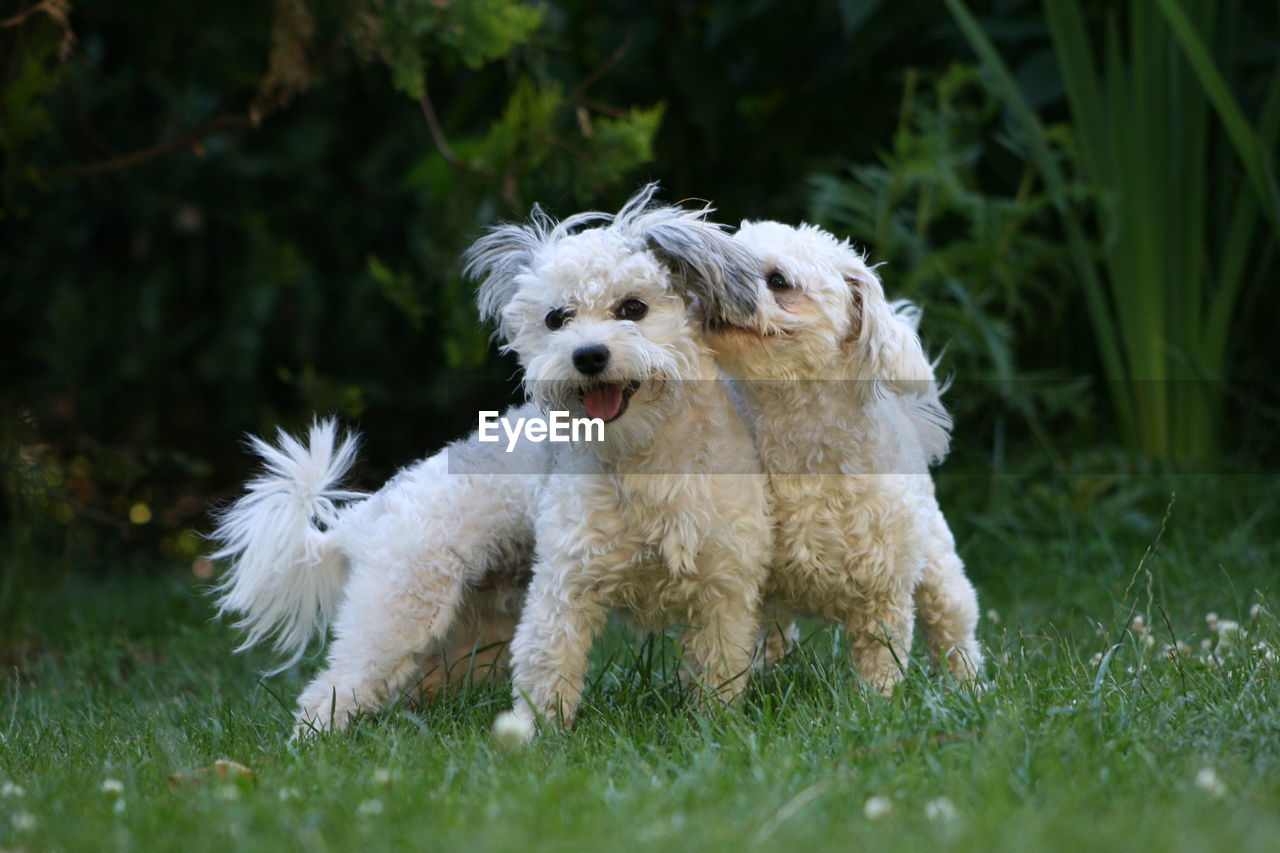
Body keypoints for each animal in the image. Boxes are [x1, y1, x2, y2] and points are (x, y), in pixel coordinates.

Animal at [468, 185, 773, 732]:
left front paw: (714, 726)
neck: (643, 456)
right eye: (555, 318)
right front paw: (537, 733)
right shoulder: (564, 580)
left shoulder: (725, 585)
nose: (588, 355)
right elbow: (548, 663)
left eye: (633, 307)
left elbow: (721, 669)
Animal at [706, 220, 983, 691]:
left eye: (778, 281)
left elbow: (881, 660)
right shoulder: (749, 578)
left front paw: (878, 701)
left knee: (955, 629)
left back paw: (971, 688)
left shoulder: (884, 591)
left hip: (939, 568)